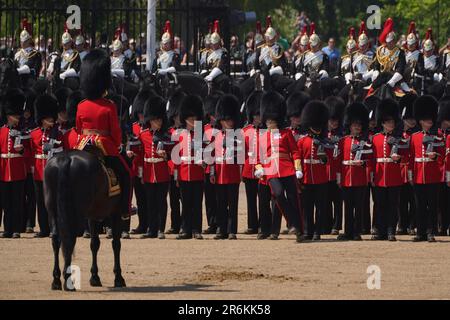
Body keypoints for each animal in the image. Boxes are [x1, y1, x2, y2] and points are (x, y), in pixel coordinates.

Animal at [44, 149, 125, 292]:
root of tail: (66, 158)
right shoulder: (116, 213)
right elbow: (116, 244)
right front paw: (118, 278)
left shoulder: (92, 216)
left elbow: (94, 244)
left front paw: (95, 277)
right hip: (76, 212)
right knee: (70, 239)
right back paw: (68, 280)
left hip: (52, 210)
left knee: (56, 239)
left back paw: (56, 280)